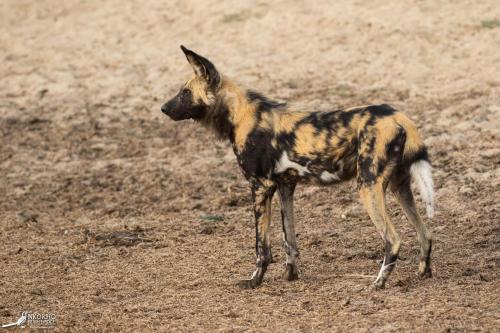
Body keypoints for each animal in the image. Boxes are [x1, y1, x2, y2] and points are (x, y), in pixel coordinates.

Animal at [160, 45, 434, 290]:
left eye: (185, 92)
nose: (163, 108)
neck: (238, 115)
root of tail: (398, 116)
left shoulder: (260, 187)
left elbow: (261, 247)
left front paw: (255, 281)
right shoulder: (285, 186)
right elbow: (288, 240)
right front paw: (290, 275)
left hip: (368, 187)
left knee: (393, 239)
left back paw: (378, 283)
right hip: (399, 187)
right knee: (425, 232)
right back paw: (423, 272)